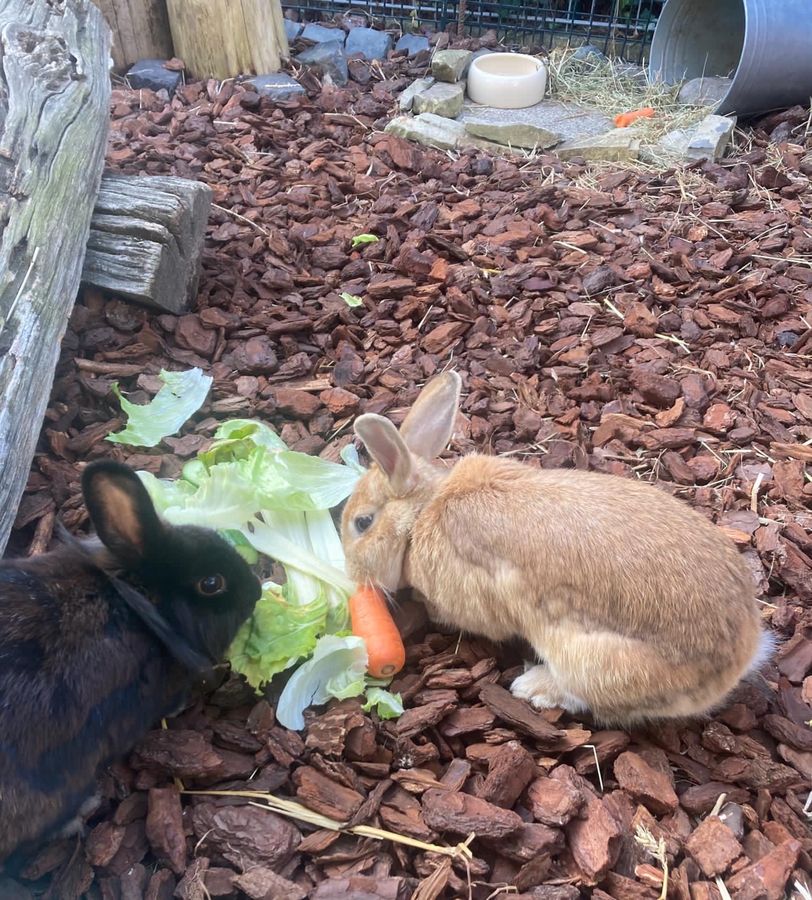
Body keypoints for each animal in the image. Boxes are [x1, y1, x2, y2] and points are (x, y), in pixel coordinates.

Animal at [340, 370, 772, 728]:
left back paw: (531, 686)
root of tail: (742, 655)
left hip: (590, 661)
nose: (352, 576)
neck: (424, 510)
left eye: (362, 522)